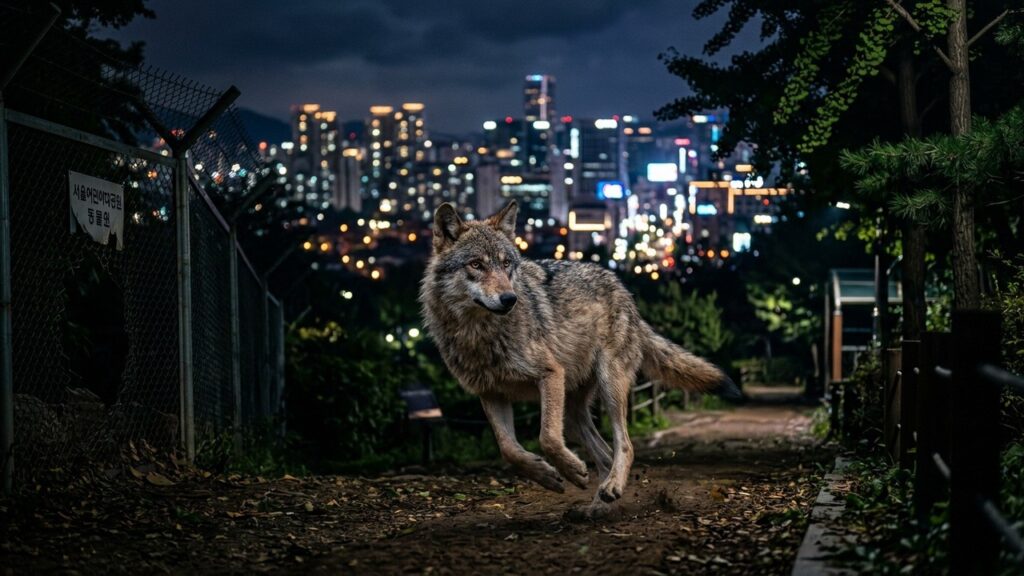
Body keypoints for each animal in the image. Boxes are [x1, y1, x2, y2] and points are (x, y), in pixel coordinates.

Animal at [420, 201, 740, 510]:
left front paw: (571, 470)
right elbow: (509, 449)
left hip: (609, 386)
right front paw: (547, 475)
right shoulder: (491, 393)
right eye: (476, 265)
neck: (480, 334)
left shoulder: (550, 374)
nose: (510, 299)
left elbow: (547, 438)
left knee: (625, 446)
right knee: (605, 454)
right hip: (573, 412)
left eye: (507, 264)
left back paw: (610, 489)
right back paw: (599, 504)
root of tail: (624, 291)